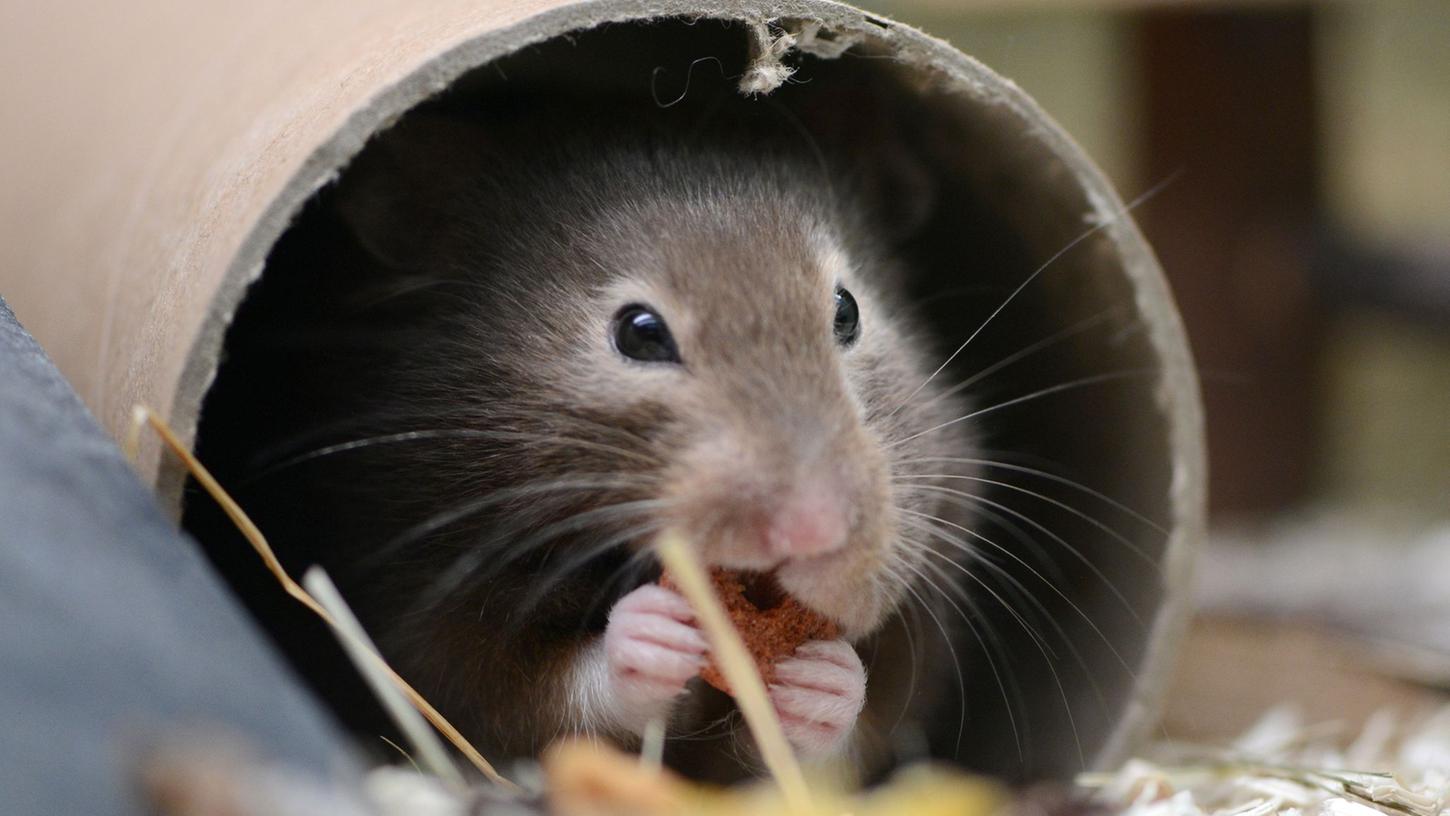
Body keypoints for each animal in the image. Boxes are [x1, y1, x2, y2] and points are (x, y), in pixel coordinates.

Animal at [181, 99, 974, 782]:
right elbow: (545, 703)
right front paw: (656, 632)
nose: (813, 531)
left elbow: (837, 741)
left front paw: (822, 678)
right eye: (639, 333)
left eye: (847, 311)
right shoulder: (416, 613)